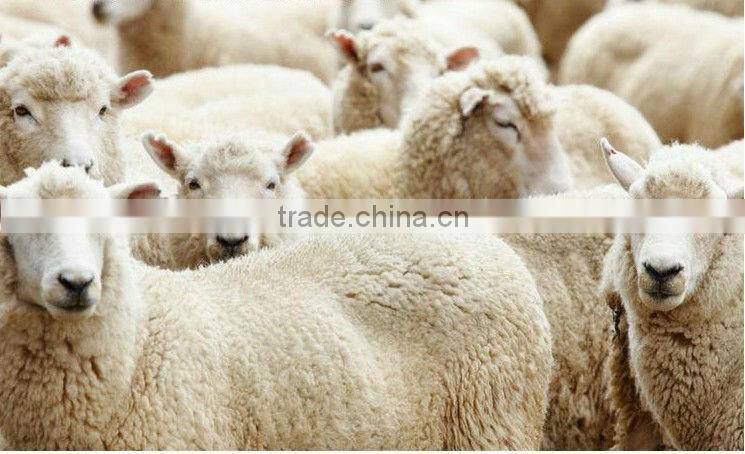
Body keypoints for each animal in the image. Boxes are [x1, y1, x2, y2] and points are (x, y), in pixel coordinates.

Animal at [0, 162, 553, 450]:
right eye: (18, 228)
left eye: (105, 226)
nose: (76, 282)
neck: (138, 346)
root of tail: (485, 245)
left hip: (494, 423)